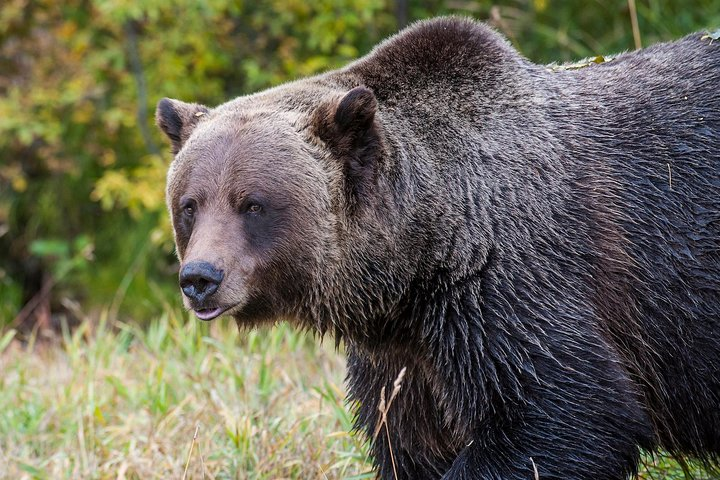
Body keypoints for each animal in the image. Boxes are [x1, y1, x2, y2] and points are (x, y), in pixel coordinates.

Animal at [156, 17, 720, 480]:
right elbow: (408, 442)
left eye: (252, 203)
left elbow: (564, 412)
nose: (200, 278)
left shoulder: (508, 284)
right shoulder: (404, 359)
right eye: (190, 204)